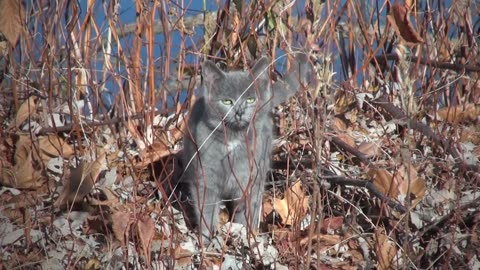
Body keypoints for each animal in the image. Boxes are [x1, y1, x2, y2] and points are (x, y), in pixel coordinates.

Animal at [178, 52, 314, 243]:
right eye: (227, 101)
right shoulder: (205, 175)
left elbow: (247, 209)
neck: (234, 139)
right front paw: (206, 239)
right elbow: (206, 208)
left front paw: (245, 235)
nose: (240, 111)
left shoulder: (250, 178)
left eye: (250, 99)